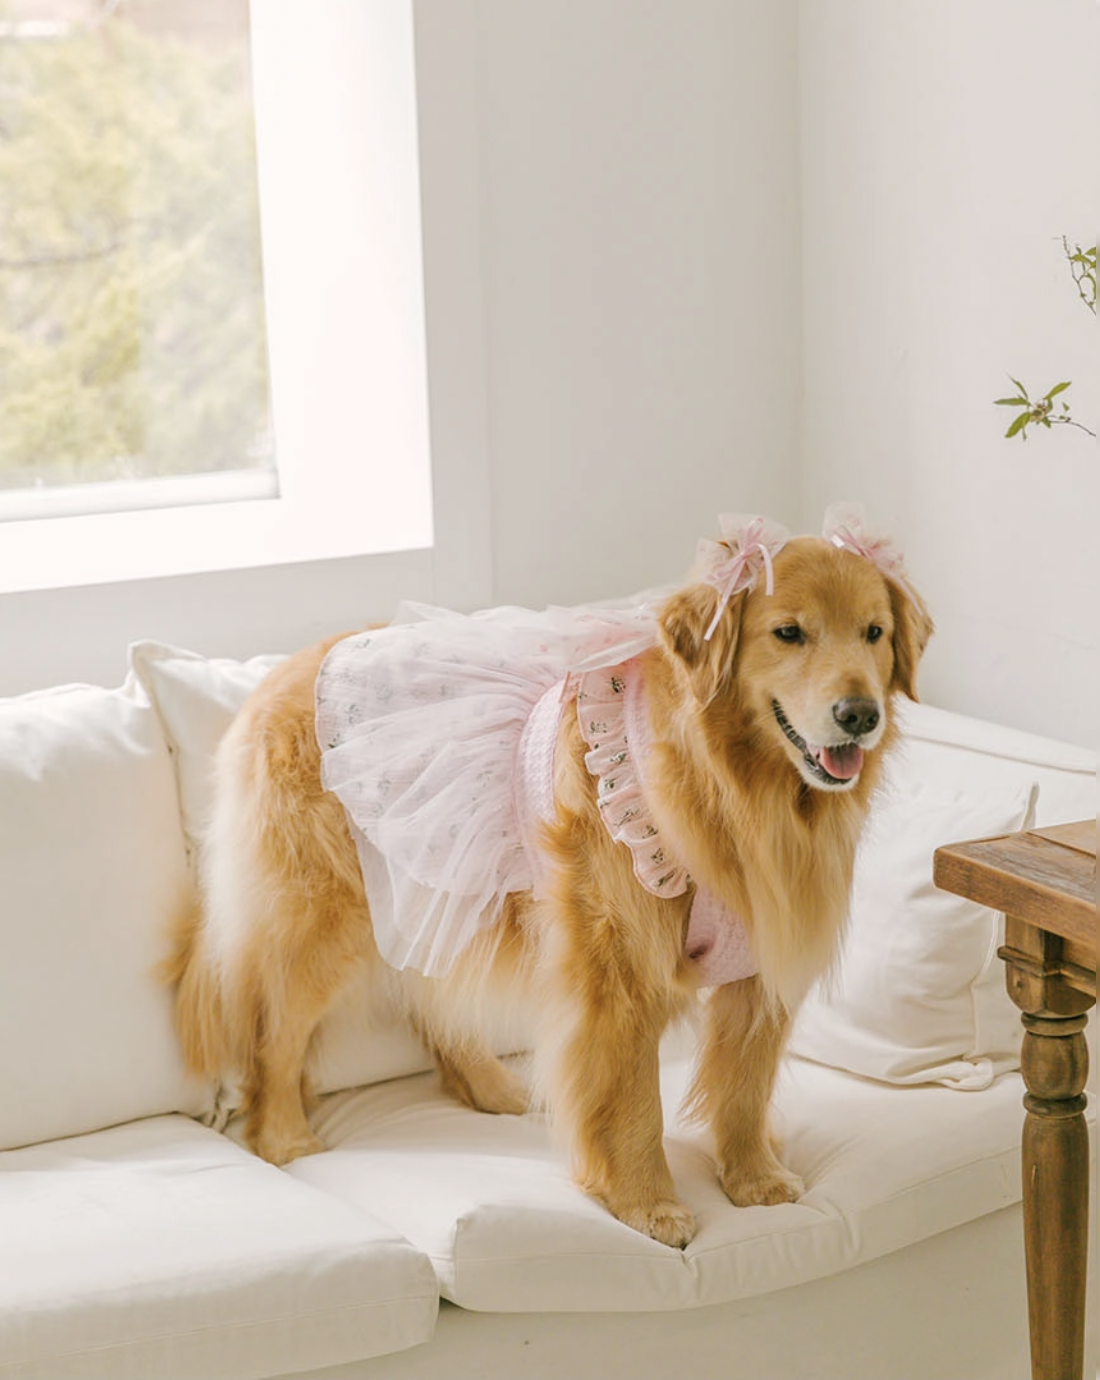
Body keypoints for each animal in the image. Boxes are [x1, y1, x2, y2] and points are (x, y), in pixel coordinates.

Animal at [165, 508, 931, 1248]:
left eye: (875, 633)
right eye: (789, 633)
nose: (860, 715)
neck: (733, 788)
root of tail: (276, 677)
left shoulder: (757, 964)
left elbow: (746, 1082)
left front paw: (753, 1178)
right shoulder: (621, 970)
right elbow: (635, 1101)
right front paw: (648, 1205)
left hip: (432, 885)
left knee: (429, 997)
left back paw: (488, 1084)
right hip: (326, 920)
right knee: (274, 1032)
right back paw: (282, 1136)